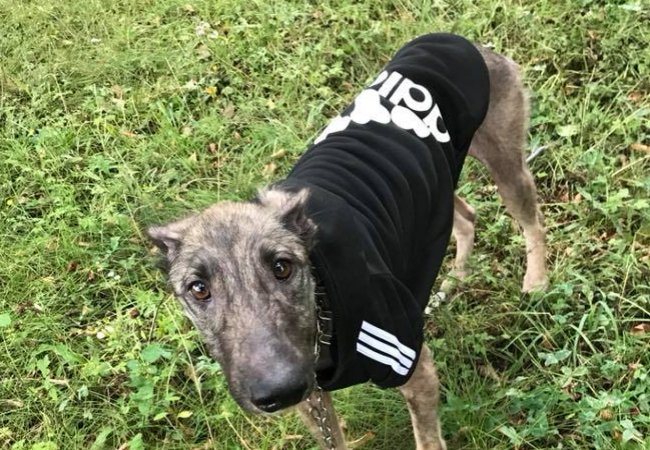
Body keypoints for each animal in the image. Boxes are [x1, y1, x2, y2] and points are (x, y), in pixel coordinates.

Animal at [147, 33, 547, 450]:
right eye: (198, 289)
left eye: (282, 267)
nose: (279, 391)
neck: (323, 304)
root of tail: (462, 41)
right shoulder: (314, 402)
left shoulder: (413, 367)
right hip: (435, 185)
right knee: (467, 217)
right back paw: (454, 280)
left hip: (504, 164)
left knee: (532, 221)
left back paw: (537, 281)